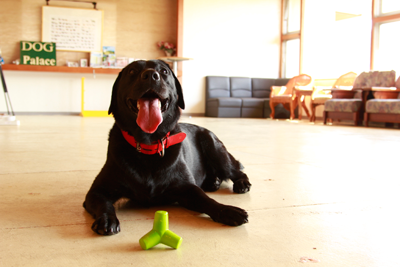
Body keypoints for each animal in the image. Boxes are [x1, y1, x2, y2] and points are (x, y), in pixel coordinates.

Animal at [84, 59, 252, 236]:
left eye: (164, 71)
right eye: (132, 71)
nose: (151, 75)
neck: (148, 145)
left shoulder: (188, 189)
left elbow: (207, 200)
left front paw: (228, 211)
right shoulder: (97, 191)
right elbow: (104, 204)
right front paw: (107, 219)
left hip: (215, 148)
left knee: (236, 171)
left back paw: (241, 184)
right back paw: (214, 182)